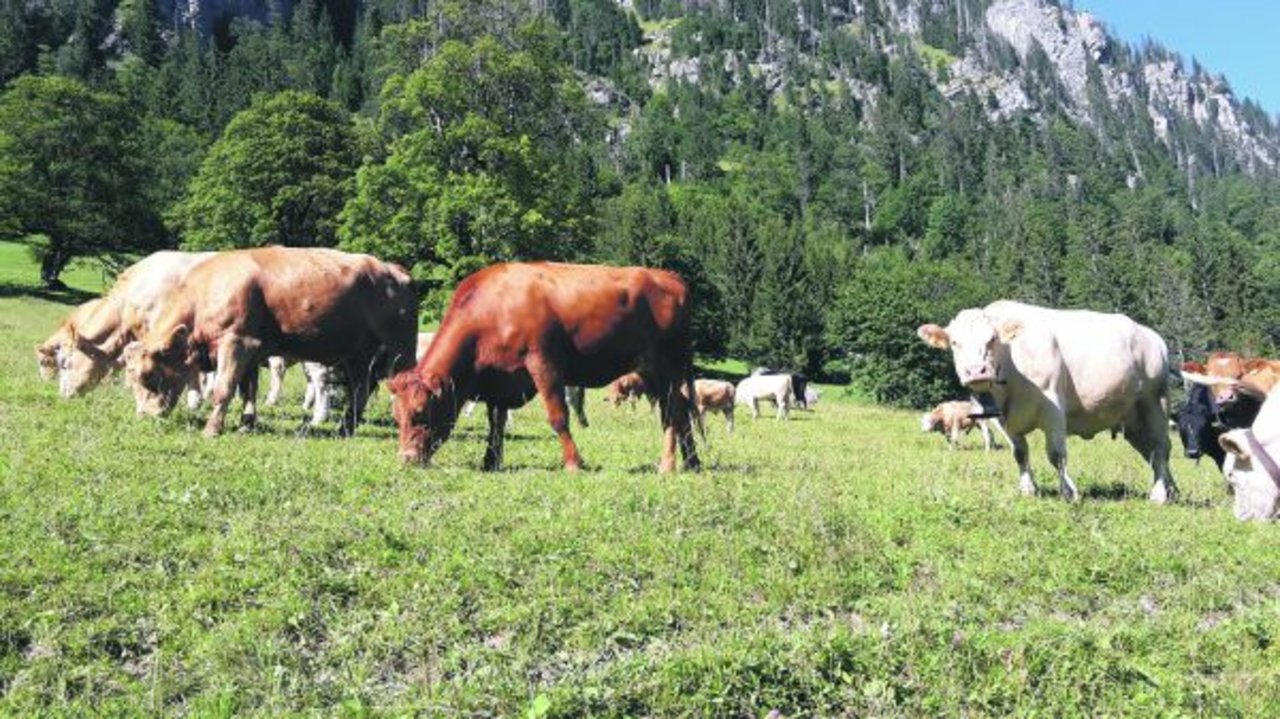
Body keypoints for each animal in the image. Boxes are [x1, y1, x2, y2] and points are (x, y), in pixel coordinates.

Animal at [123, 245, 414, 434]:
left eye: (148, 375)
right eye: (129, 380)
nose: (143, 416)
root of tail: (393, 269)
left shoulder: (237, 343)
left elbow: (224, 389)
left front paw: (212, 429)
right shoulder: (252, 351)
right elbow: (247, 390)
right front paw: (246, 424)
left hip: (400, 349)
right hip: (358, 355)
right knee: (360, 390)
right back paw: (345, 428)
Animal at [386, 262, 701, 470]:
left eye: (420, 413)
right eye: (396, 417)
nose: (405, 459)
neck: (492, 310)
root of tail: (669, 276)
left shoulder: (544, 365)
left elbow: (558, 416)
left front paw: (574, 463)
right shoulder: (499, 379)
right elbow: (496, 422)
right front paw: (491, 461)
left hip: (667, 367)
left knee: (673, 414)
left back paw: (668, 464)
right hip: (653, 373)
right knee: (682, 414)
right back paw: (692, 463)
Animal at [916, 299, 1172, 501]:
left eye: (992, 340)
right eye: (955, 343)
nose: (976, 371)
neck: (1011, 366)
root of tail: (1151, 336)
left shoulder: (1053, 409)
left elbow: (1057, 454)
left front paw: (1068, 492)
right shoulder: (1004, 421)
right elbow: (1019, 453)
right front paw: (1028, 489)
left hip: (1154, 404)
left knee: (1160, 447)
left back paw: (1159, 495)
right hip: (1133, 419)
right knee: (1150, 452)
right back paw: (1171, 489)